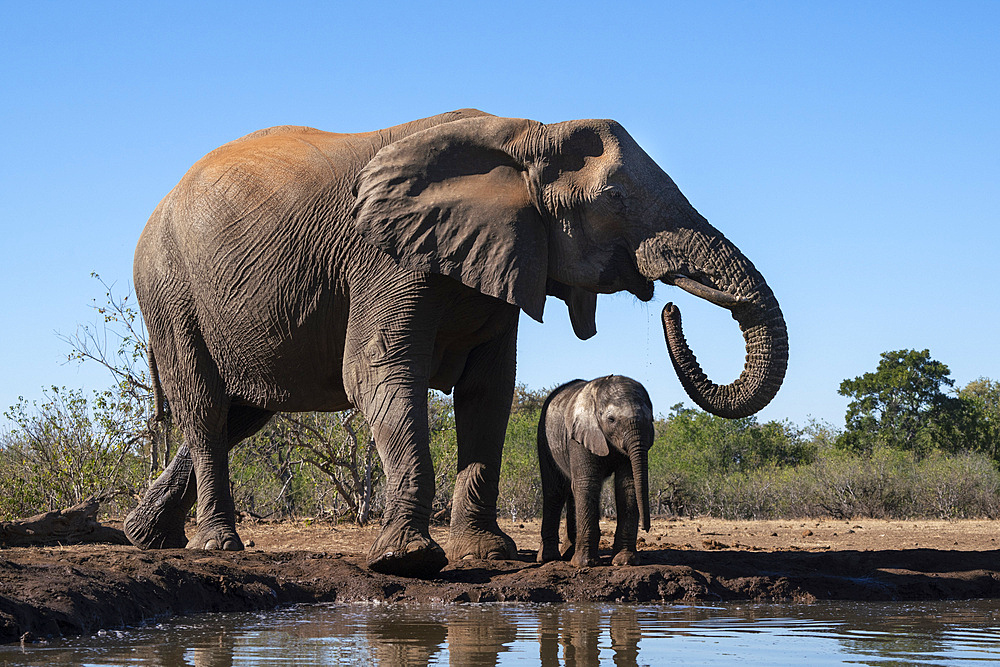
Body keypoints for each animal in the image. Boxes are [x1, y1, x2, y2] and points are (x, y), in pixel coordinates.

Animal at [536, 376, 652, 568]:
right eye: (611, 419)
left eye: (651, 419)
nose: (646, 528)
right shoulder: (578, 437)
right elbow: (587, 483)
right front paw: (585, 564)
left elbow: (627, 485)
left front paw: (624, 562)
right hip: (544, 439)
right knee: (555, 491)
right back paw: (549, 558)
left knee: (571, 490)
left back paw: (568, 553)